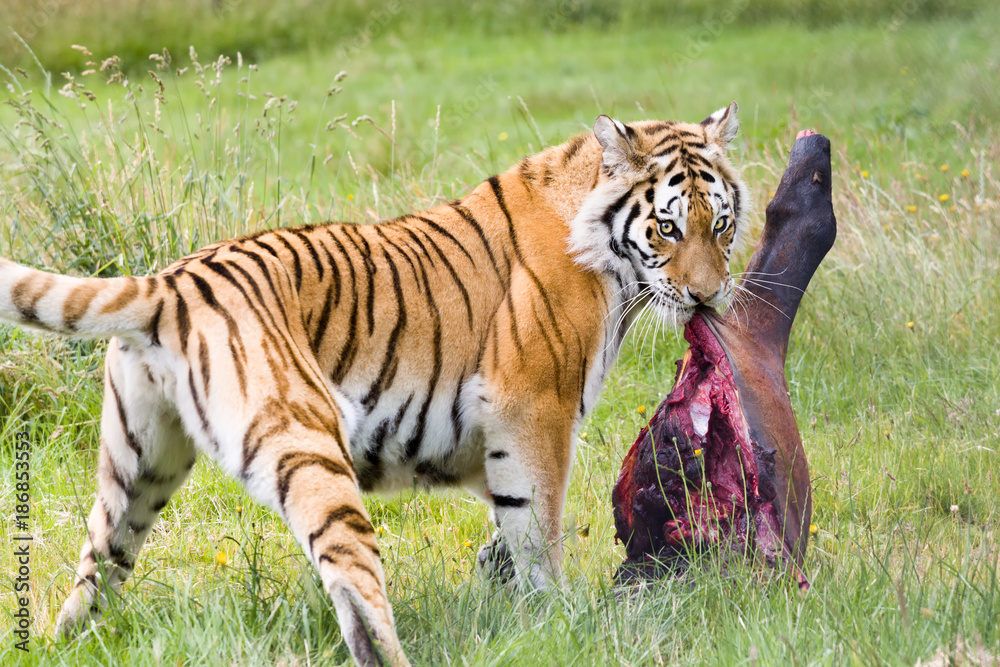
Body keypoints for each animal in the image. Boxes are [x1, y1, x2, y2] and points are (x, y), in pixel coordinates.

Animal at [0, 102, 748, 666]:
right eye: (667, 226)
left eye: (721, 223)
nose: (709, 297)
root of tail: (168, 286)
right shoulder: (532, 411)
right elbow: (538, 528)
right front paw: (556, 618)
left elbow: (506, 529)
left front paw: (502, 589)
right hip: (306, 450)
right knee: (359, 594)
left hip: (139, 468)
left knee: (97, 567)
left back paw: (64, 646)